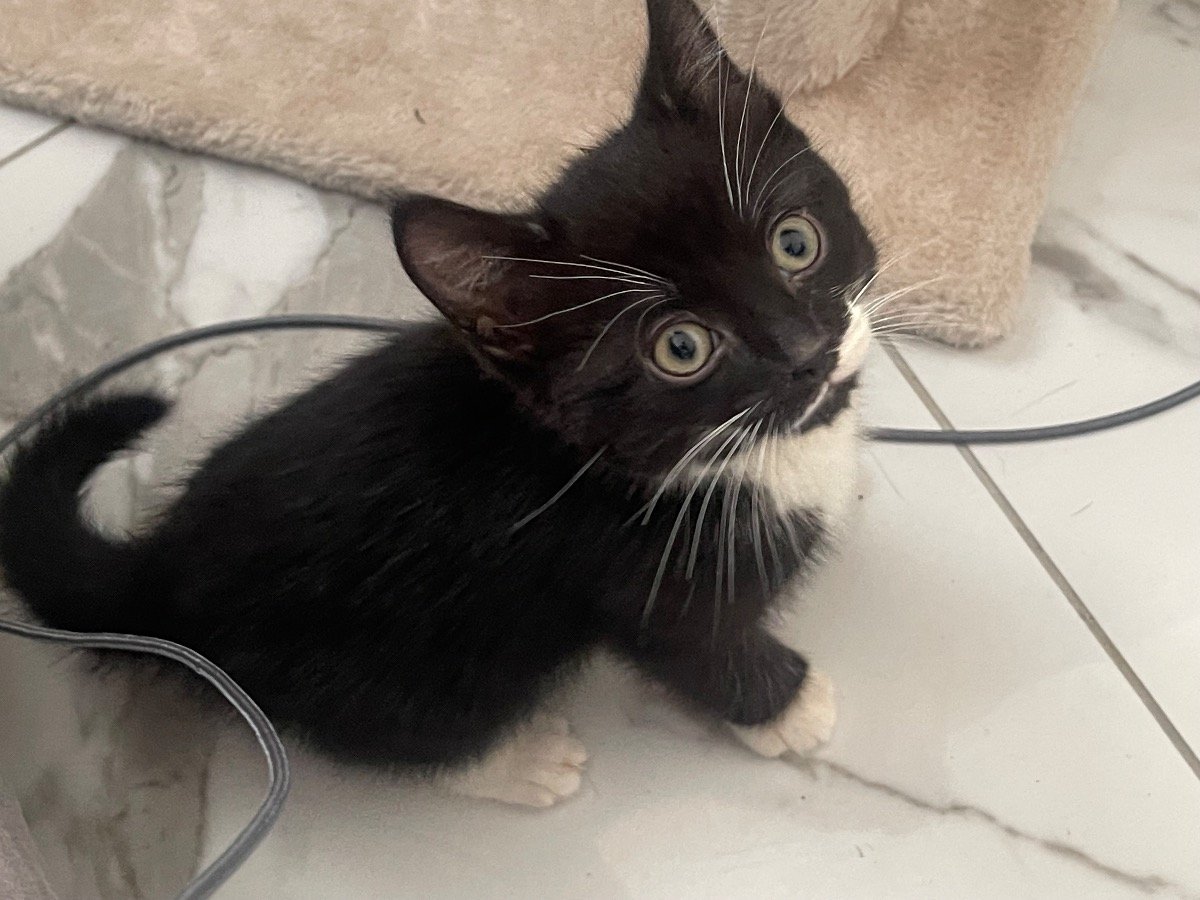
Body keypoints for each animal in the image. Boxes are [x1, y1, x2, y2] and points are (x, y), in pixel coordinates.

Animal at [0, 0, 876, 807]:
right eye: (681, 348)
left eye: (795, 242)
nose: (808, 353)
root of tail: (160, 569)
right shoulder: (641, 582)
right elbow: (701, 653)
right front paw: (792, 708)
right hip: (402, 664)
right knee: (400, 733)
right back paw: (521, 762)